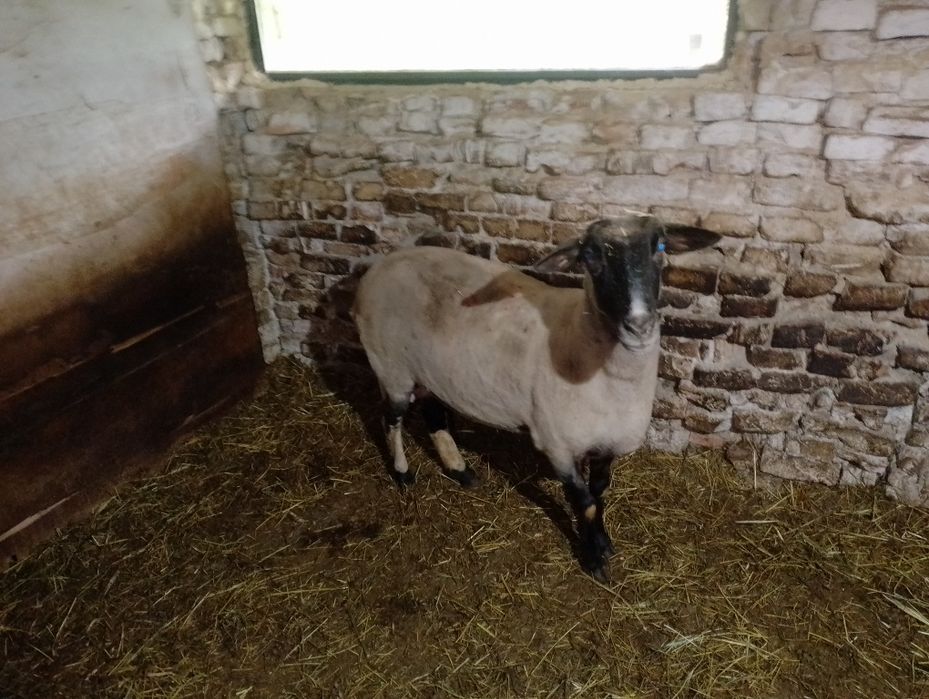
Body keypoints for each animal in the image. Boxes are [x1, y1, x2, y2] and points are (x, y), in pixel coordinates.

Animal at [351, 213, 720, 579]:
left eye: (660, 247)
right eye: (590, 257)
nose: (639, 326)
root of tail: (381, 265)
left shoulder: (608, 444)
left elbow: (599, 493)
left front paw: (603, 542)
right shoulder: (558, 446)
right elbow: (586, 503)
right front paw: (594, 561)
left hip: (429, 373)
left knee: (433, 415)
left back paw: (460, 470)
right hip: (392, 368)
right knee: (391, 418)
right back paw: (402, 474)